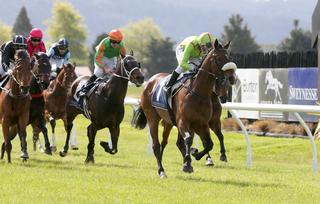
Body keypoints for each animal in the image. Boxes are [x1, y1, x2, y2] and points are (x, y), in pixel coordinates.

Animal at [131, 39, 236, 177]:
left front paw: (195, 155)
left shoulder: (202, 123)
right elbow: (188, 140)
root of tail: (150, 81)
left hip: (169, 122)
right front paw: (187, 164)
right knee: (156, 145)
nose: (232, 78)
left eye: (229, 57)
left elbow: (209, 143)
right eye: (218, 58)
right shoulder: (183, 121)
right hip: (152, 118)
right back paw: (161, 170)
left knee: (171, 142)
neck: (197, 92)